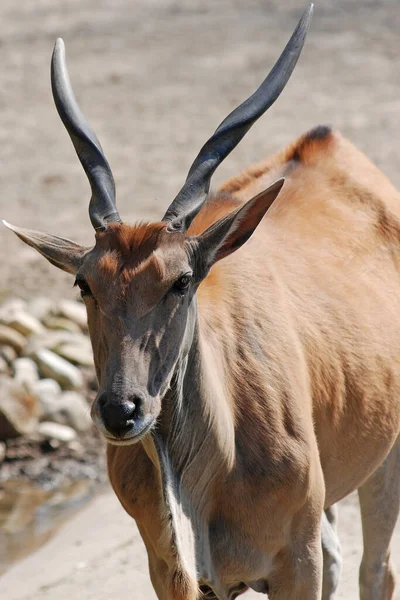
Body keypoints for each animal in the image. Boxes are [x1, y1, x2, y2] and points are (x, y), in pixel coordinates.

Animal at [3, 4, 400, 600]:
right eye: (85, 284)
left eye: (182, 281)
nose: (122, 410)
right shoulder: (172, 571)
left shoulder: (295, 560)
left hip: (383, 463)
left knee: (375, 569)